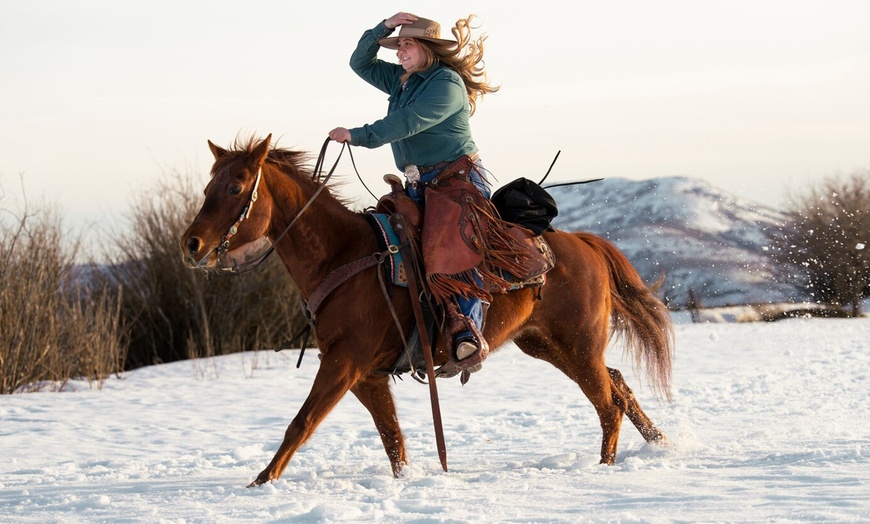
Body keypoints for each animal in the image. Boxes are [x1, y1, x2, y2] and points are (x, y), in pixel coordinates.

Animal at [181, 135, 676, 488]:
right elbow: (392, 440)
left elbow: (300, 424)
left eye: (235, 187)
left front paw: (259, 485)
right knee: (618, 384)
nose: (192, 244)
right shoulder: (366, 375)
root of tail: (583, 243)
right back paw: (660, 443)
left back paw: (603, 471)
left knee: (608, 404)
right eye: (207, 187)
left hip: (578, 344)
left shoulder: (344, 363)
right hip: (549, 345)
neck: (343, 255)